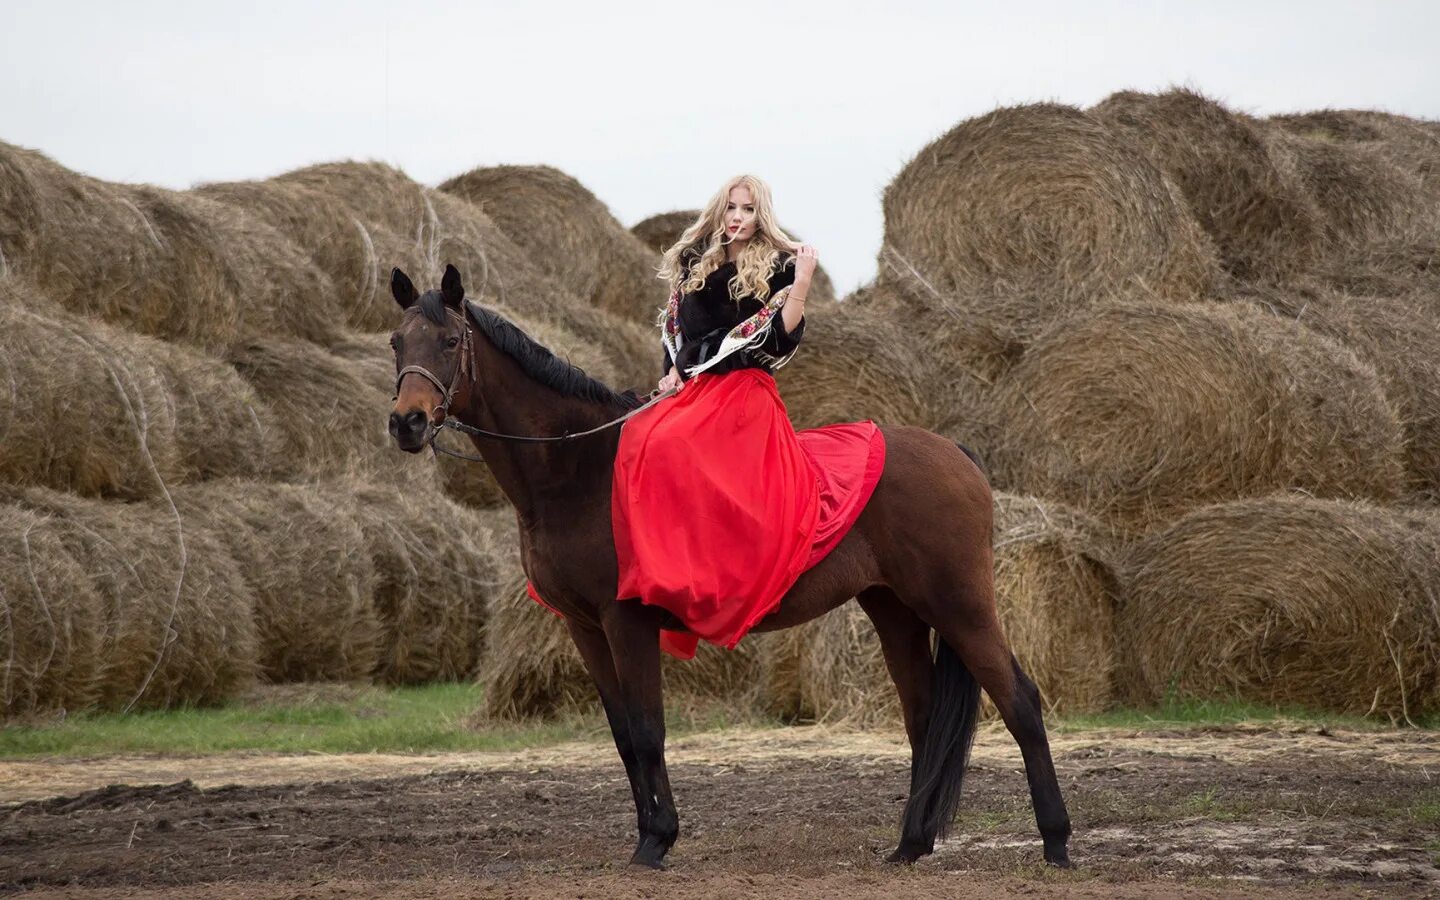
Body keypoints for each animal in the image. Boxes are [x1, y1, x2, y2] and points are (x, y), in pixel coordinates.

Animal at [391, 263, 1071, 869]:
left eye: (449, 342)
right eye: (397, 341)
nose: (407, 423)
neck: (582, 469)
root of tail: (953, 452)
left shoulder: (625, 620)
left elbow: (647, 730)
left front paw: (657, 841)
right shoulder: (583, 627)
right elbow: (622, 736)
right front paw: (648, 833)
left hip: (960, 605)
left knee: (1020, 702)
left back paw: (1056, 842)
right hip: (896, 611)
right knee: (924, 721)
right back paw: (910, 845)